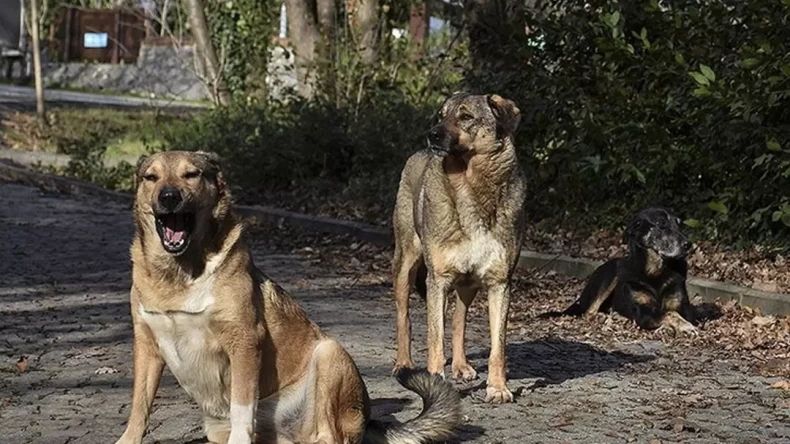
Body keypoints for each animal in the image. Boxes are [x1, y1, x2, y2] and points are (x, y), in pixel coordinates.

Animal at [117, 152, 464, 444]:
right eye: (151, 177)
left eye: (191, 174)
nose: (168, 197)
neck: (179, 274)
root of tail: (366, 420)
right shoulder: (146, 345)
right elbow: (139, 406)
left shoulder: (244, 341)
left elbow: (242, 410)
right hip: (223, 425)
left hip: (328, 354)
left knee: (328, 437)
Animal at [392, 93, 528, 402]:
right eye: (441, 115)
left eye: (465, 117)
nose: (432, 134)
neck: (471, 185)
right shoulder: (438, 280)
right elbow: (435, 339)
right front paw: (435, 383)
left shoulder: (500, 283)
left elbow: (497, 348)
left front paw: (498, 388)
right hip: (406, 265)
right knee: (405, 317)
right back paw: (403, 364)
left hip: (469, 284)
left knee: (458, 319)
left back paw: (461, 366)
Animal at [548, 208, 704, 332]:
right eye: (662, 224)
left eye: (679, 224)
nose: (688, 245)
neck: (654, 272)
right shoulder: (642, 311)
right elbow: (670, 314)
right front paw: (684, 326)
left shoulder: (682, 306)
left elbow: (674, 313)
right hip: (612, 275)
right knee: (589, 311)